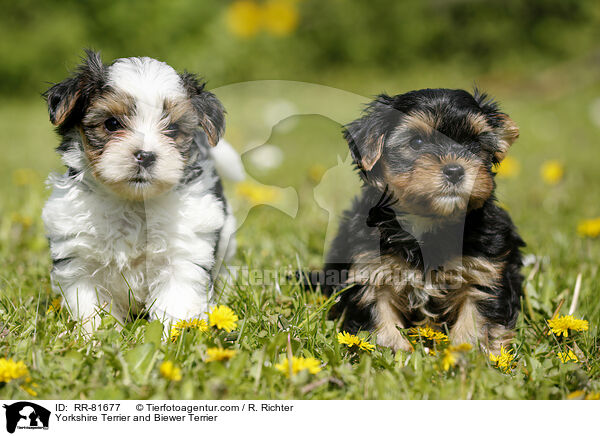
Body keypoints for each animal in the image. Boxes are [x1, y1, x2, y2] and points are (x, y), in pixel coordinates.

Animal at [42, 50, 237, 330]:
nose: (145, 155)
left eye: (172, 129)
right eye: (112, 124)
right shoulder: (79, 258)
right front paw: (93, 336)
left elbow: (177, 303)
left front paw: (172, 336)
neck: (132, 202)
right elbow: (90, 307)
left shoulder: (182, 256)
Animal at [316, 88, 524, 354]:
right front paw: (393, 350)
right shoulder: (371, 269)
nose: (455, 170)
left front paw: (467, 351)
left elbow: (476, 314)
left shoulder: (485, 270)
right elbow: (378, 311)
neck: (429, 222)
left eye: (475, 143)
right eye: (416, 142)